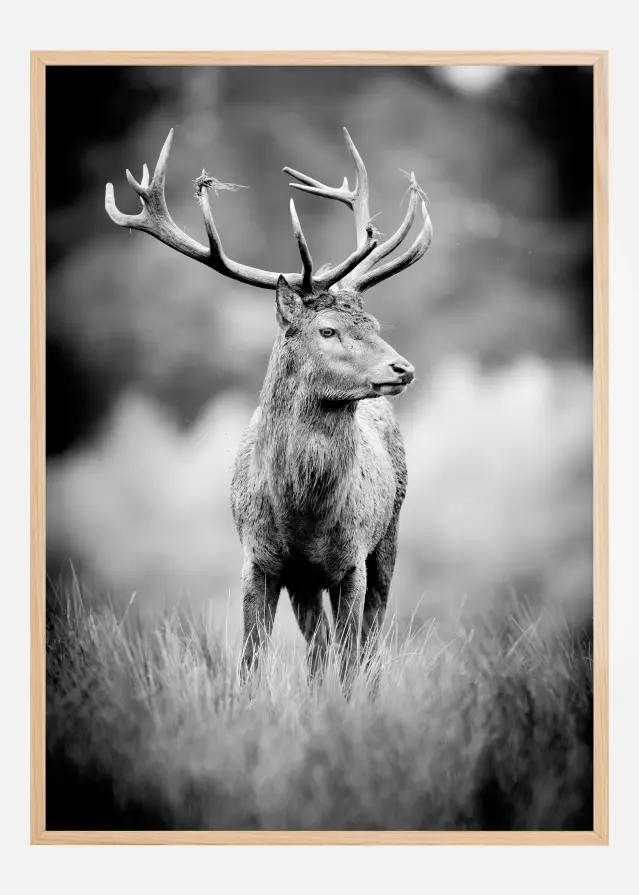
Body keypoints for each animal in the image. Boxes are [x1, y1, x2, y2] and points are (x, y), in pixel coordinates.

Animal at [105, 127, 432, 691]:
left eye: (374, 323)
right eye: (327, 330)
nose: (402, 368)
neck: (304, 517)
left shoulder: (352, 560)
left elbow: (351, 661)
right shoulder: (258, 561)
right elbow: (251, 662)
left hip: (389, 535)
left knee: (368, 642)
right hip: (306, 581)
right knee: (319, 648)